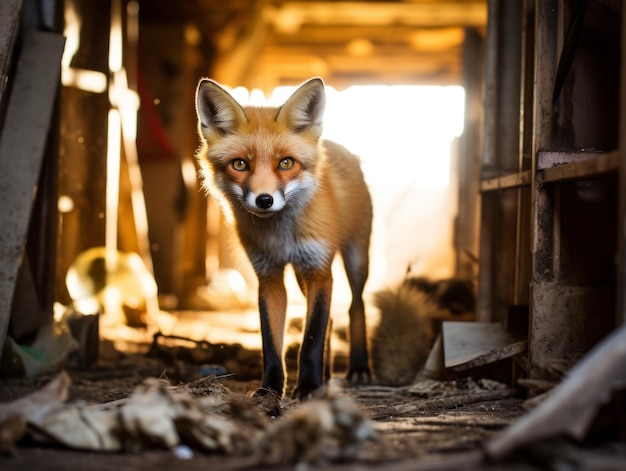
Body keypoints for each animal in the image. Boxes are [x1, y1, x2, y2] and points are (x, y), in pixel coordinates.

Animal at [195, 78, 370, 402]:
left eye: (286, 163)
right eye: (240, 164)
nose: (264, 200)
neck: (281, 237)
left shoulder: (319, 270)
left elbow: (311, 338)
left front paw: (309, 386)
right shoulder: (269, 276)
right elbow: (272, 342)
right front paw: (270, 389)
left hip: (355, 261)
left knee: (356, 307)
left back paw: (359, 368)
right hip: (302, 278)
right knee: (331, 322)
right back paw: (328, 375)